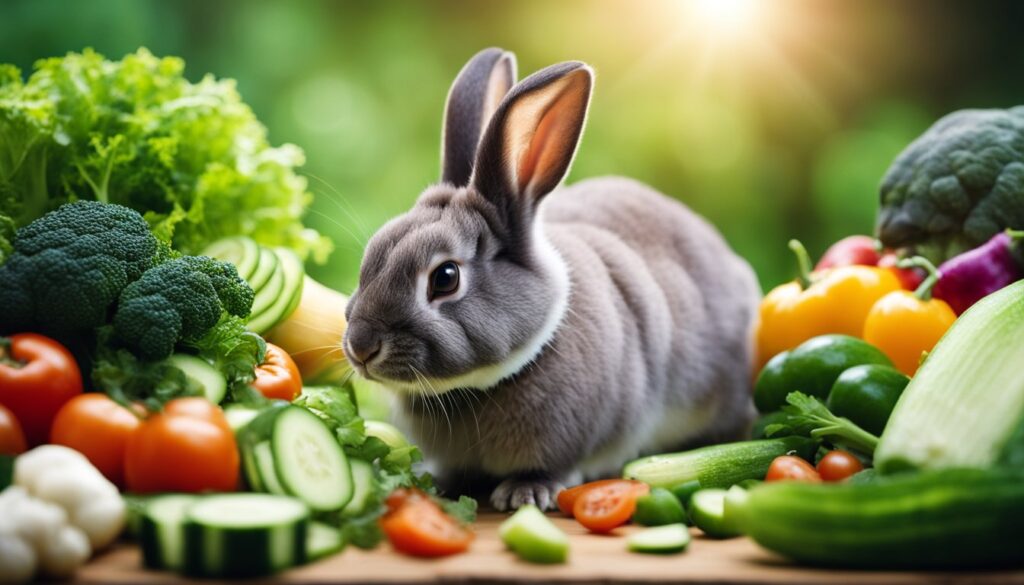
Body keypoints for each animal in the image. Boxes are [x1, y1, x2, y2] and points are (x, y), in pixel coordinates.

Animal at [343, 48, 761, 511]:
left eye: (445, 278)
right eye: (372, 255)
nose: (361, 347)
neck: (478, 386)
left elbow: (556, 468)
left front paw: (525, 494)